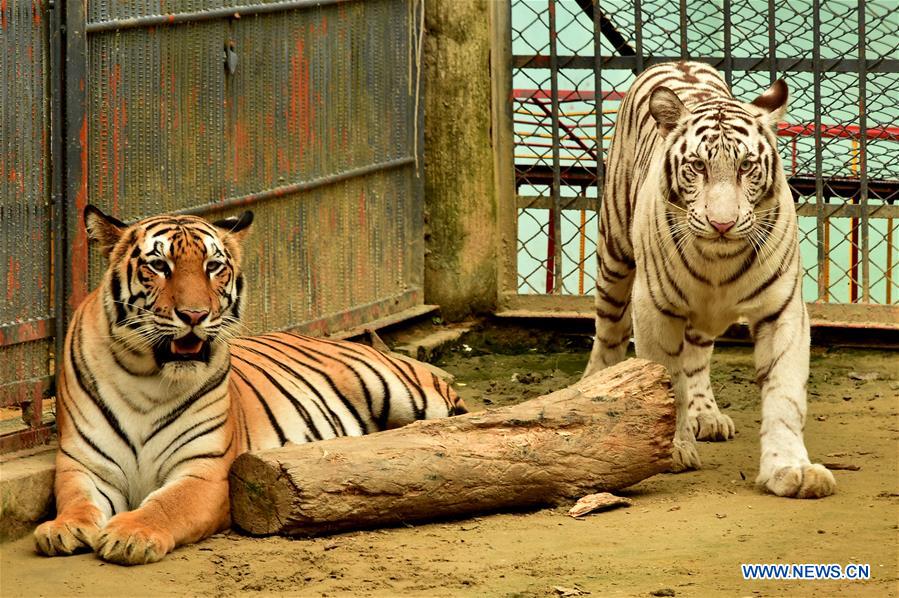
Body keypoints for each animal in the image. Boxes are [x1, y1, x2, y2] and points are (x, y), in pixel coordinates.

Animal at [34, 205, 466, 565]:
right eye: (158, 265)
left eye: (213, 266)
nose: (195, 315)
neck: (147, 377)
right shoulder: (84, 464)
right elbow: (76, 499)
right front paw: (62, 529)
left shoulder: (205, 471)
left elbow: (166, 505)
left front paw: (130, 534)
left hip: (402, 390)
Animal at [582, 61, 835, 499]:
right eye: (698, 166)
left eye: (746, 166)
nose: (722, 224)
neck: (719, 260)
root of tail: (675, 62)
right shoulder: (653, 307)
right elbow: (668, 381)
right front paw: (673, 448)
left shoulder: (782, 310)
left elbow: (784, 395)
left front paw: (790, 468)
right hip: (614, 255)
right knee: (609, 333)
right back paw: (597, 386)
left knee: (697, 355)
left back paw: (706, 415)